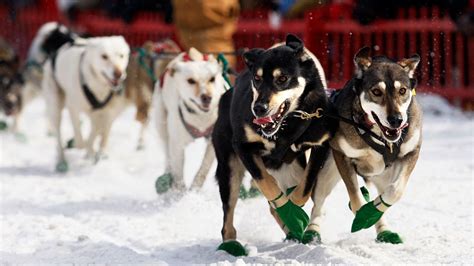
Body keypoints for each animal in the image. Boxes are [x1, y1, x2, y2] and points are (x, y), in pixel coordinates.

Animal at [42, 35, 130, 172]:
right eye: (104, 56)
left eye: (121, 55)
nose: (118, 73)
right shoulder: (73, 108)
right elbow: (81, 140)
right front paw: (86, 148)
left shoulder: (106, 112)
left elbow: (101, 133)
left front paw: (99, 151)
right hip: (55, 105)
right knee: (58, 136)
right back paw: (62, 161)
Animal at [154, 48, 228, 193]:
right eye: (191, 81)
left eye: (212, 78)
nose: (207, 97)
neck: (201, 118)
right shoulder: (177, 145)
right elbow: (178, 175)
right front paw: (180, 194)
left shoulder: (213, 143)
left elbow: (203, 168)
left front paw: (194, 190)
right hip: (161, 123)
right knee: (167, 153)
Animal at [211, 34, 336, 255]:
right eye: (257, 79)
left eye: (282, 78)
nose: (259, 108)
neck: (286, 127)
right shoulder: (243, 147)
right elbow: (267, 184)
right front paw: (291, 213)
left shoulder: (319, 145)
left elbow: (304, 188)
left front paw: (294, 214)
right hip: (229, 169)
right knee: (229, 213)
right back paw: (231, 243)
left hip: (291, 168)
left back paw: (292, 230)